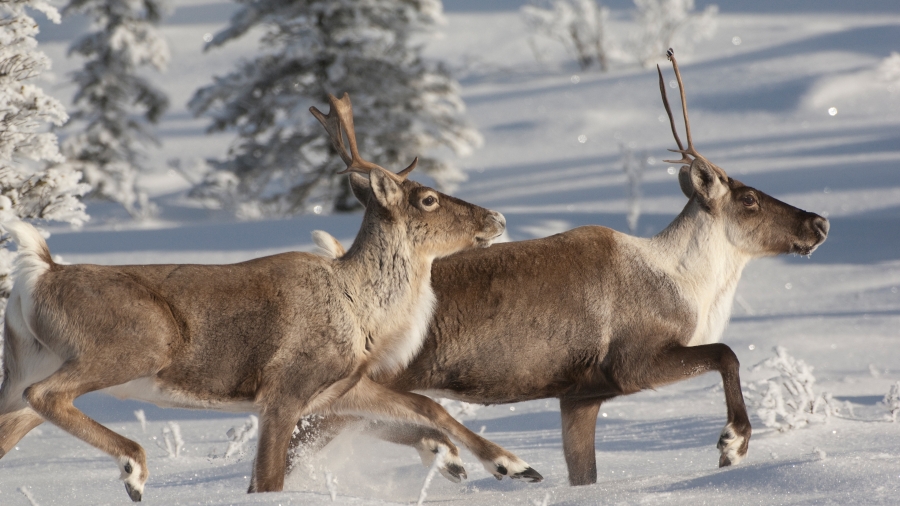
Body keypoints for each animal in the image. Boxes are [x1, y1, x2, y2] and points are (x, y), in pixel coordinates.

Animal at [0, 93, 544, 502]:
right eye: (427, 198)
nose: (496, 217)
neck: (362, 310)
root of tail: (38, 275)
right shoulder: (284, 390)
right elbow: (267, 483)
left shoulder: (338, 386)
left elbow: (427, 407)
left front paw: (514, 466)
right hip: (136, 343)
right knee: (47, 395)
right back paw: (133, 466)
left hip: (25, 371)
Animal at [290, 50, 830, 486]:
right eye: (749, 198)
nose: (819, 222)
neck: (688, 285)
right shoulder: (634, 363)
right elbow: (726, 352)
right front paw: (732, 444)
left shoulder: (580, 396)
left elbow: (584, 474)